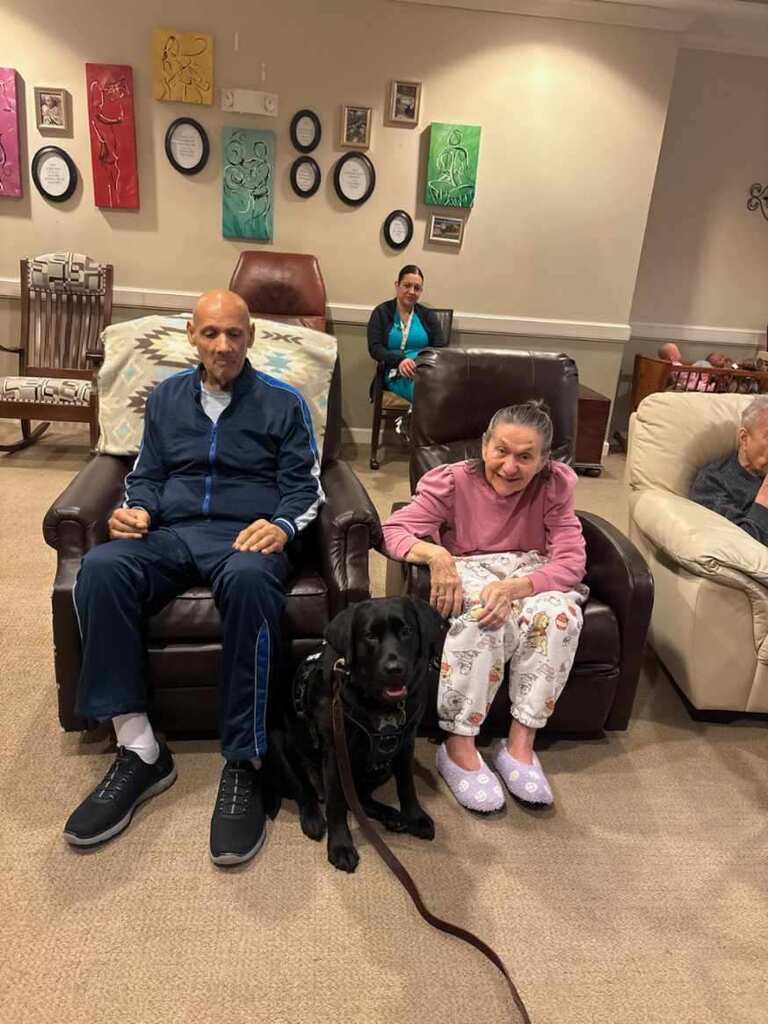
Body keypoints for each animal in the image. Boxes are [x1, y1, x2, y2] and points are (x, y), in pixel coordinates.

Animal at [266, 597, 446, 873]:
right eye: (370, 636)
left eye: (406, 631)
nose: (394, 668)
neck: (378, 704)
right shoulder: (335, 753)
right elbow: (336, 803)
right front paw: (340, 845)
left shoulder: (406, 744)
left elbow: (407, 785)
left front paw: (415, 817)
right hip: (277, 743)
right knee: (304, 790)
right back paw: (313, 818)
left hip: (381, 767)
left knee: (360, 798)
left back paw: (391, 816)